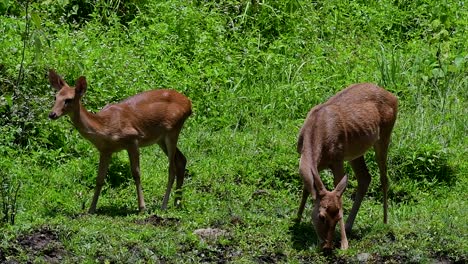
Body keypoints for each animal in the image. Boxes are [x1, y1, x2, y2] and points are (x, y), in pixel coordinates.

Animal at [47, 69, 192, 213]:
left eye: (69, 99)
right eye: (55, 97)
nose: (52, 114)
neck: (104, 127)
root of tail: (189, 104)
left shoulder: (133, 139)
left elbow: (136, 173)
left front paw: (142, 207)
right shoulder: (105, 150)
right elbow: (100, 178)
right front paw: (91, 209)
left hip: (173, 129)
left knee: (172, 168)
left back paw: (164, 205)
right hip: (161, 138)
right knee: (181, 160)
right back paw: (177, 203)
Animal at [298, 82, 396, 250]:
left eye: (338, 217)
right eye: (321, 216)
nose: (327, 246)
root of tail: (394, 97)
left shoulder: (337, 159)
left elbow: (340, 195)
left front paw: (344, 244)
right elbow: (307, 188)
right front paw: (296, 222)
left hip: (384, 136)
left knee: (384, 178)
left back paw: (384, 221)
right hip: (356, 152)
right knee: (365, 178)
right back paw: (351, 225)